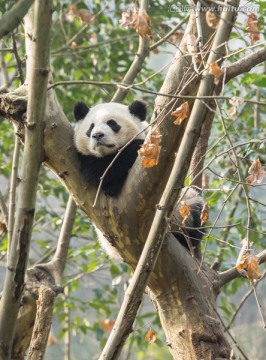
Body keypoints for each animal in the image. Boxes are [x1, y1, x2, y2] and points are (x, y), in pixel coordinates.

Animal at [72, 98, 204, 256]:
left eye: (112, 123)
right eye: (91, 127)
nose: (97, 135)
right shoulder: (85, 158)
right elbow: (100, 171)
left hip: (183, 207)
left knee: (194, 211)